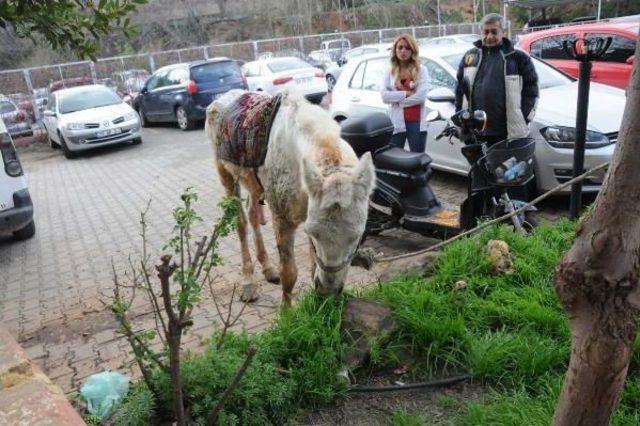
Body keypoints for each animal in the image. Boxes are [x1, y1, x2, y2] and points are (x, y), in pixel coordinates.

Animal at [205, 90, 376, 304]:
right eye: (314, 234)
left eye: (357, 236)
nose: (328, 291)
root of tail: (220, 98)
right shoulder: (283, 219)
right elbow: (289, 274)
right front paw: (287, 311)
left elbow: (313, 267)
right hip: (226, 175)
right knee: (241, 224)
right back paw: (248, 282)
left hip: (254, 184)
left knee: (253, 214)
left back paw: (268, 269)